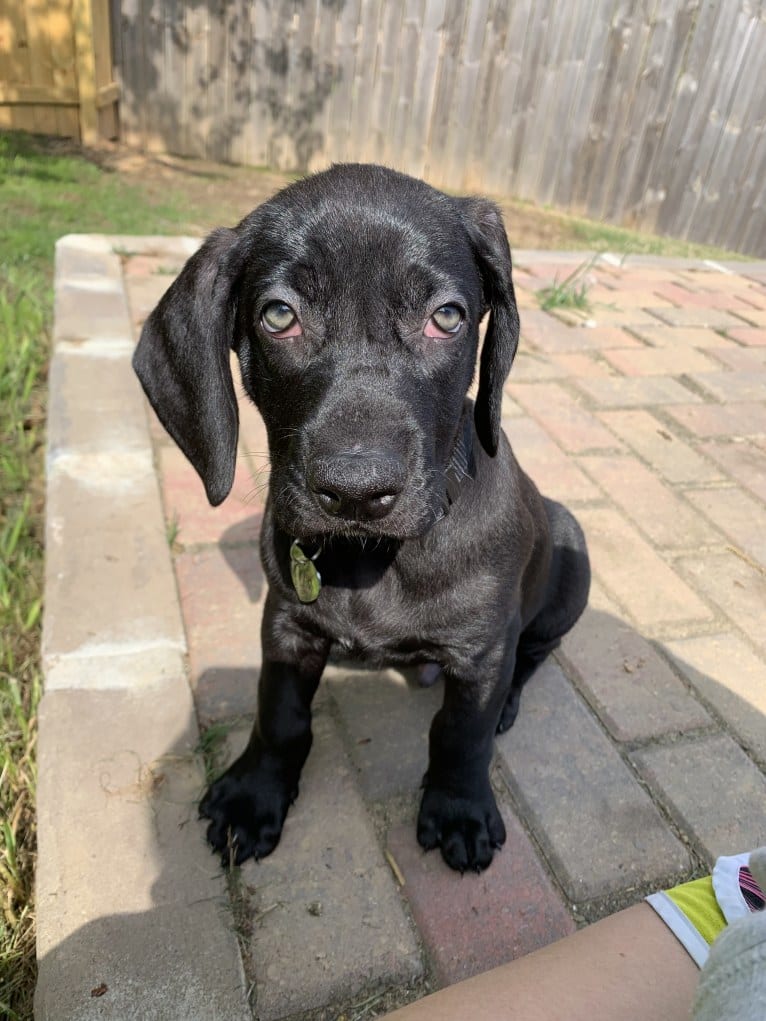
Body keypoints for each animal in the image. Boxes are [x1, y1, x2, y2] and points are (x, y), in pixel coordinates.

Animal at [131, 163, 592, 873]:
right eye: (279, 315)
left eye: (447, 317)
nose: (355, 491)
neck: (374, 559)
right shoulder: (286, 623)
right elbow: (280, 713)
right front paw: (256, 793)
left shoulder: (483, 647)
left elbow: (462, 732)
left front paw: (459, 807)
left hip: (570, 546)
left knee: (536, 653)